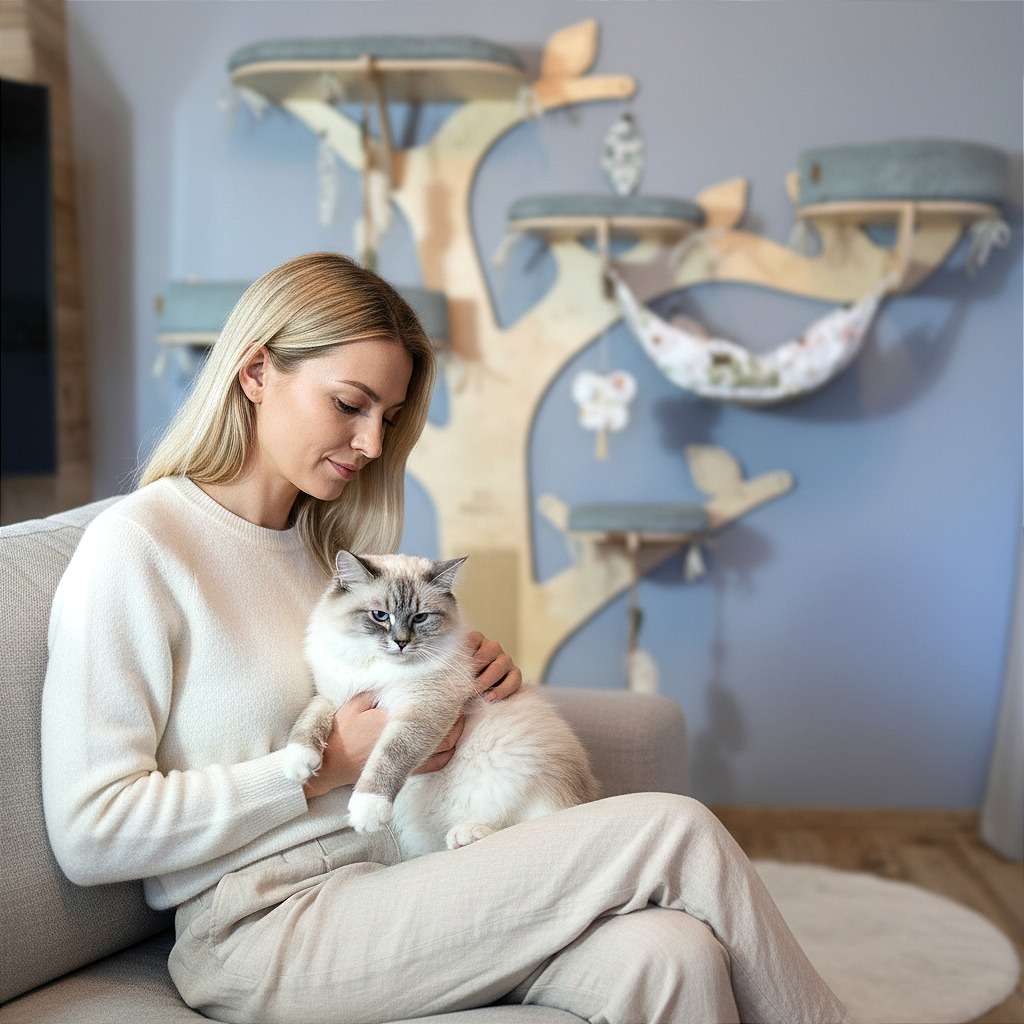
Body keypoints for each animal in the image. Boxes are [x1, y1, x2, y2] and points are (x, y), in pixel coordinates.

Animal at [281, 550, 599, 858]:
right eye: (380, 616)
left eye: (420, 618)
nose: (401, 643)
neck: (375, 668)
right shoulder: (333, 697)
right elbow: (308, 722)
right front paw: (298, 765)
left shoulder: (422, 709)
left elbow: (388, 757)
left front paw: (367, 810)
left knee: (520, 823)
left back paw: (466, 834)